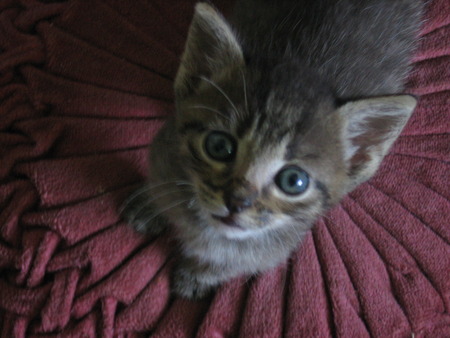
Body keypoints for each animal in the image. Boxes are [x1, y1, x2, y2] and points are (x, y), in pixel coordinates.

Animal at [122, 0, 422, 302]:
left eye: (293, 181)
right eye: (218, 147)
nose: (237, 202)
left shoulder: (281, 243)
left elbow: (243, 260)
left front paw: (200, 274)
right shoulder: (165, 145)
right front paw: (151, 202)